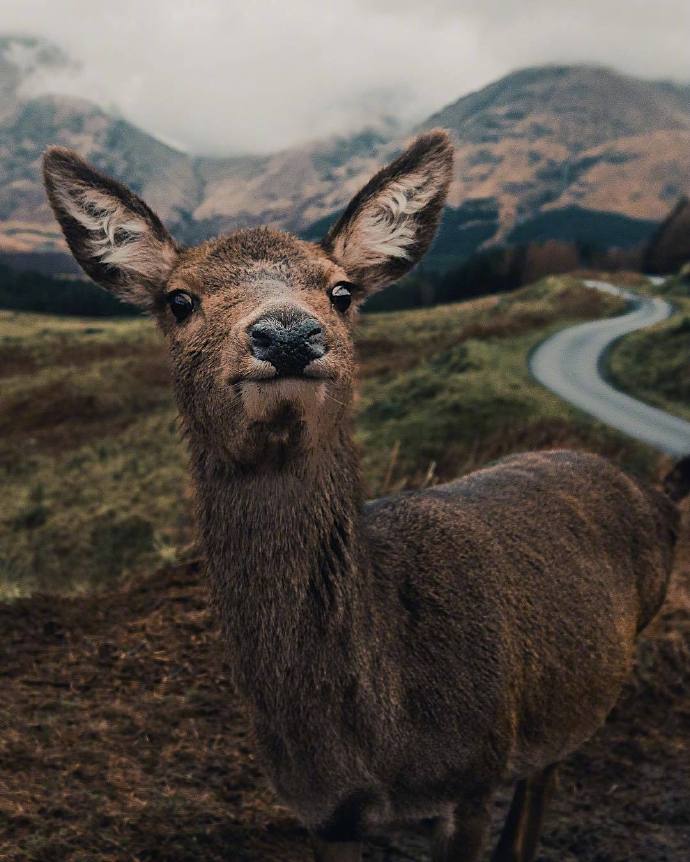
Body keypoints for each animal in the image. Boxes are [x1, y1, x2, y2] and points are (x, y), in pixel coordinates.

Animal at [42, 129, 687, 862]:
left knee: (546, 773)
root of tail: (659, 497)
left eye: (342, 291)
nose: (288, 333)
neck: (379, 732)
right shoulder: (321, 814)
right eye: (179, 300)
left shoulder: (475, 771)